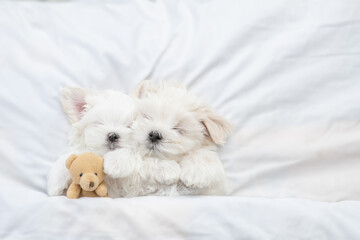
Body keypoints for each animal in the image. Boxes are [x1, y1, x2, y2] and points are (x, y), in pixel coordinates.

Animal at [105, 81, 233, 197]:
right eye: (148, 116)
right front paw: (116, 160)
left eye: (178, 128)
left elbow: (203, 153)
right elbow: (139, 156)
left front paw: (196, 172)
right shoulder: (121, 187)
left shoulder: (213, 189)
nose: (154, 135)